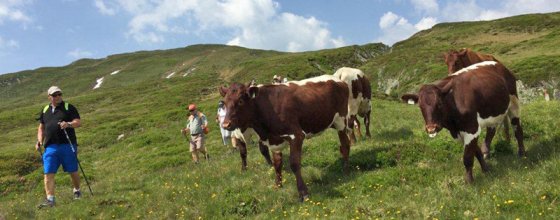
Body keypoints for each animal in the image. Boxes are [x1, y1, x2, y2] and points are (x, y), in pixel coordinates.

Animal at [219, 75, 350, 201]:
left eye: (240, 101)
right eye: (224, 103)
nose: (225, 125)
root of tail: (338, 79)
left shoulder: (296, 135)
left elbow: (294, 164)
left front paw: (303, 193)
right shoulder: (274, 141)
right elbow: (277, 164)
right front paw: (278, 186)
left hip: (341, 121)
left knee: (345, 144)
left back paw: (345, 169)